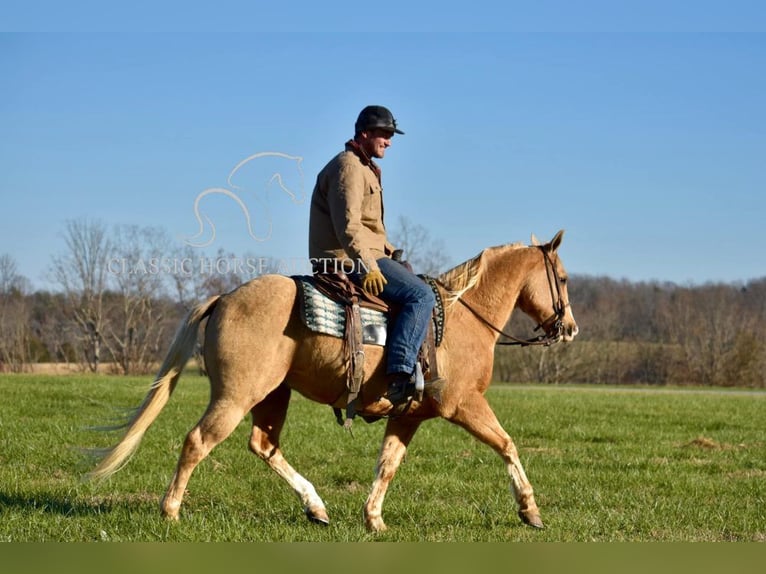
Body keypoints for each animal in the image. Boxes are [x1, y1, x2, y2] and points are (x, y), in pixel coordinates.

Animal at [88, 230, 576, 536]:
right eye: (564, 278)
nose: (569, 328)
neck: (460, 319)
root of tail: (225, 297)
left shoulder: (409, 416)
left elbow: (387, 464)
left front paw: (373, 519)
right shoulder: (465, 405)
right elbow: (507, 444)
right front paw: (530, 510)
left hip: (272, 395)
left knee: (263, 446)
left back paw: (316, 507)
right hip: (235, 396)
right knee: (197, 441)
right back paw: (170, 511)